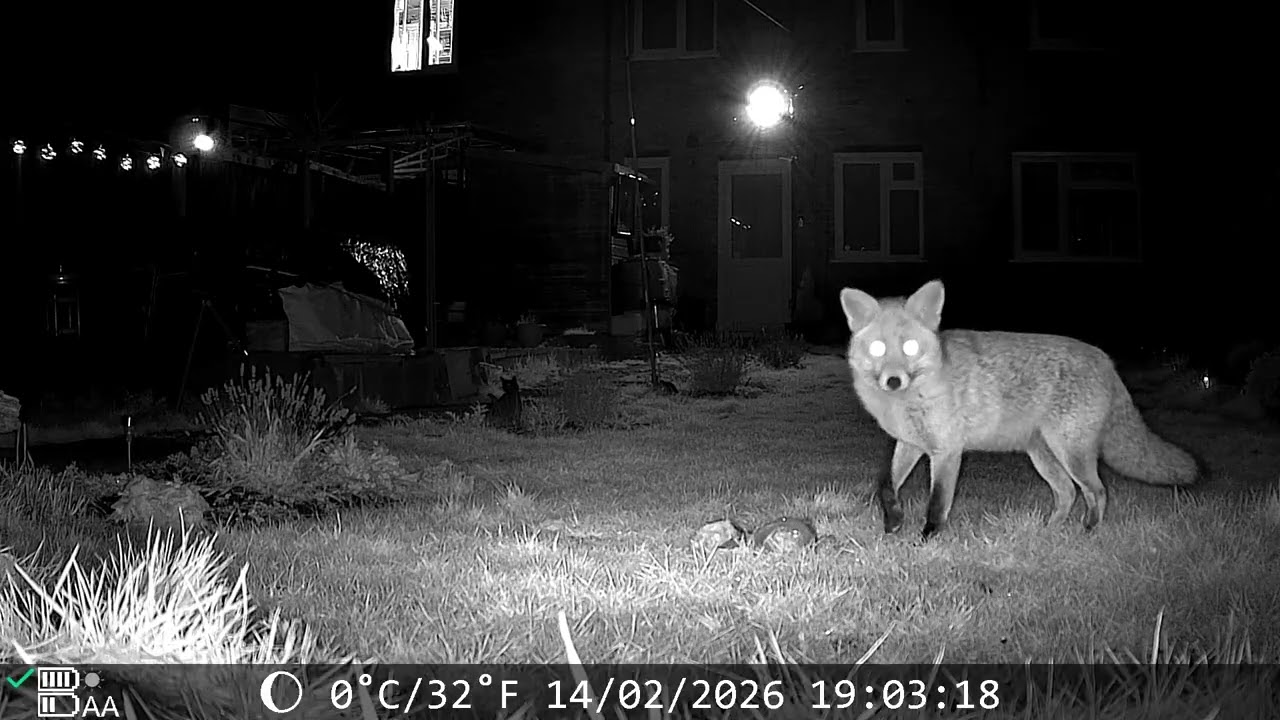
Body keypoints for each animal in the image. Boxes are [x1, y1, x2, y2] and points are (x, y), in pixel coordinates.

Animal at [838, 279, 1204, 540]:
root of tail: (1106, 360)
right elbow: (885, 486)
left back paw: (1087, 533)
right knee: (1068, 493)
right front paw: (893, 523)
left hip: (1071, 453)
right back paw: (1049, 532)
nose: (893, 380)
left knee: (1097, 492)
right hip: (1043, 456)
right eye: (878, 348)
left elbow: (937, 503)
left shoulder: (947, 452)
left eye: (911, 347)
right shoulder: (911, 444)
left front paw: (926, 539)